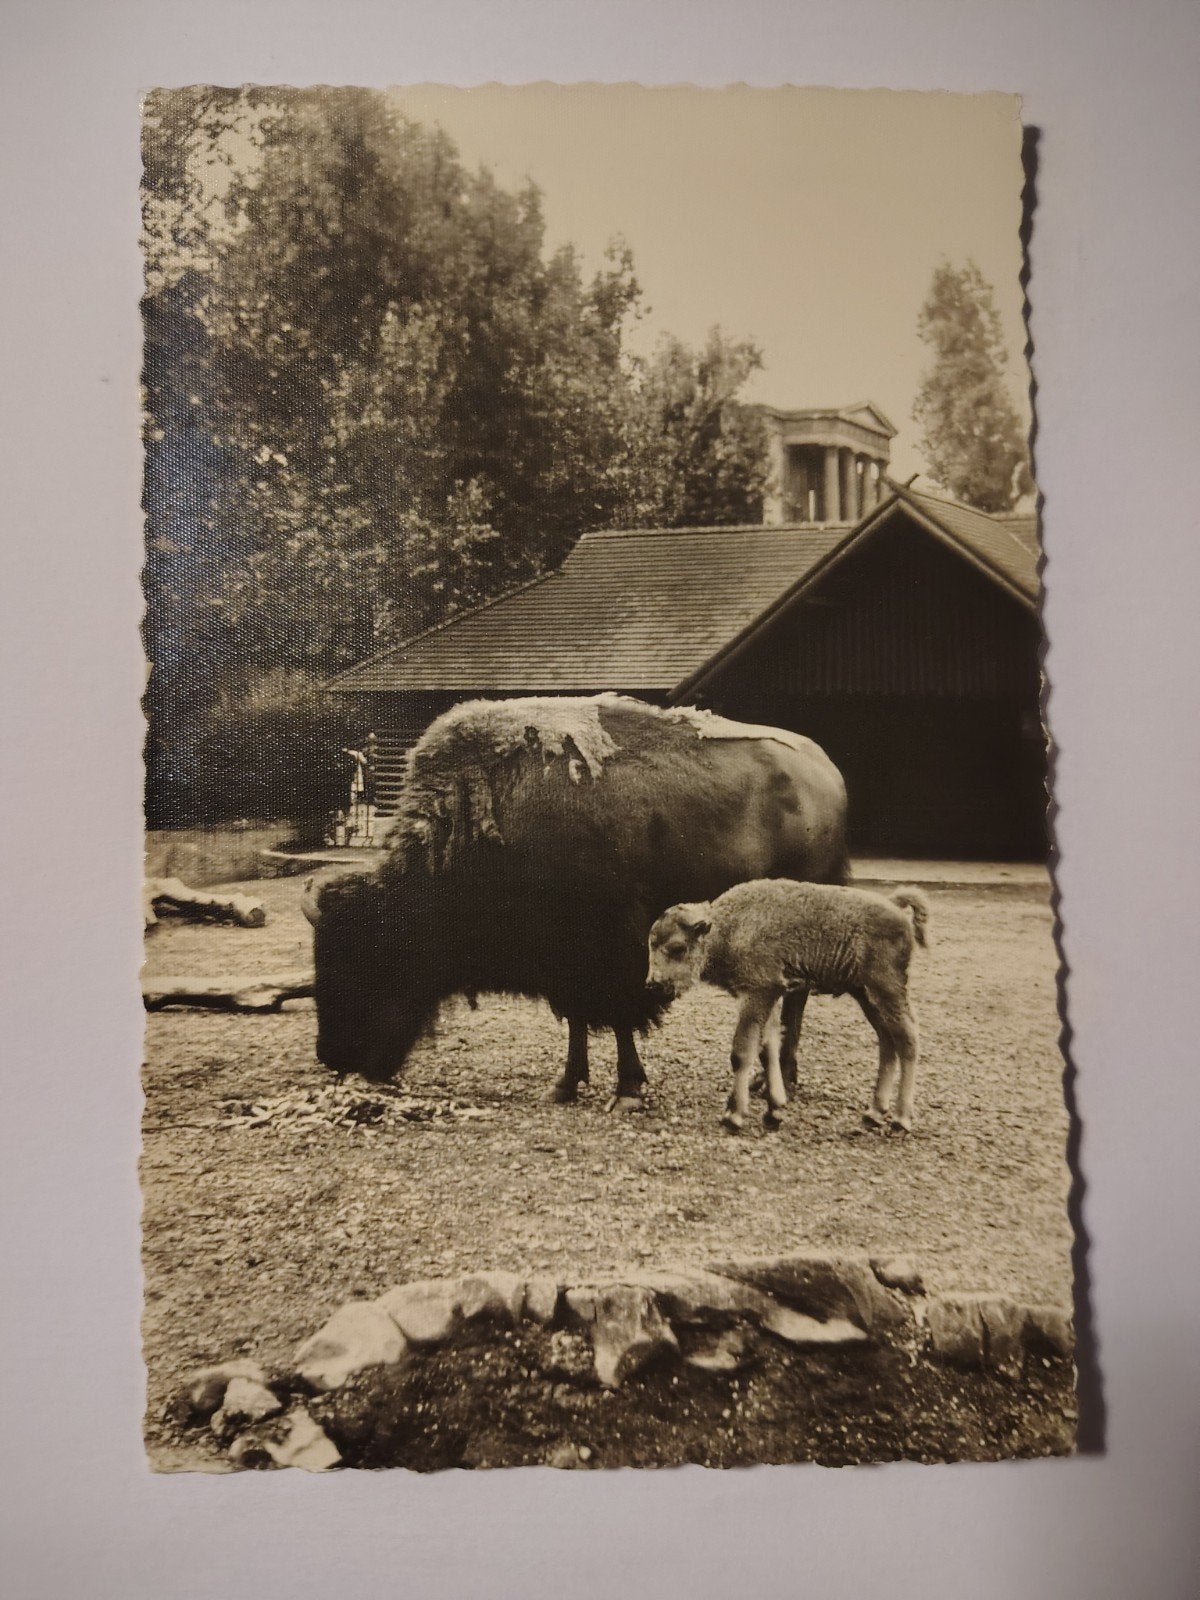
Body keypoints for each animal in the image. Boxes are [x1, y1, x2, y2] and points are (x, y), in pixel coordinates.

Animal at [303, 695, 848, 1109]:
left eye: (367, 960)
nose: (333, 1056)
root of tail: (826, 771)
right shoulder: (563, 962)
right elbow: (577, 1018)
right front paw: (565, 1084)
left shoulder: (612, 952)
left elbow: (618, 1016)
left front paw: (626, 1091)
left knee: (797, 996)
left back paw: (776, 1078)